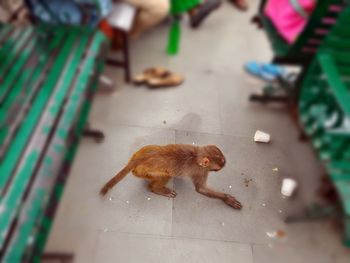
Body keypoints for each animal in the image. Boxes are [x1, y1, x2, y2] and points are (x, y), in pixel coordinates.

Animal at [100, 144, 242, 210]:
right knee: (166, 174)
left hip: (141, 155)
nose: (216, 171)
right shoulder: (200, 171)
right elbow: (200, 189)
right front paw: (227, 199)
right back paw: (156, 189)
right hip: (146, 171)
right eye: (217, 169)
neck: (196, 157)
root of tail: (138, 159)